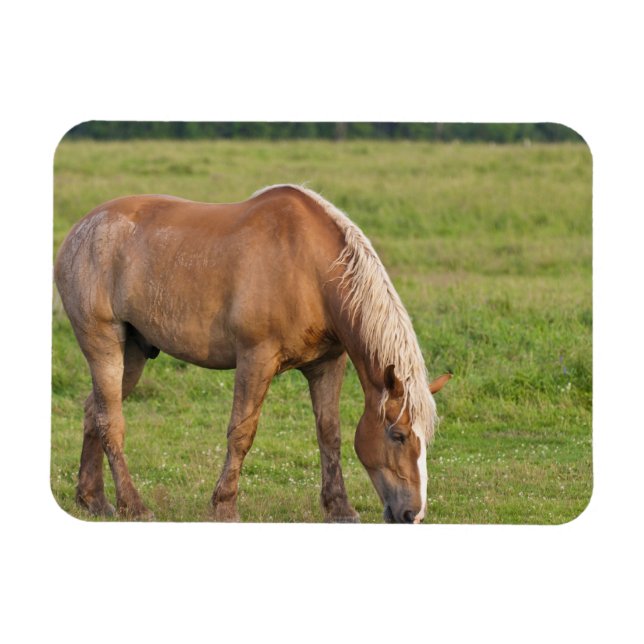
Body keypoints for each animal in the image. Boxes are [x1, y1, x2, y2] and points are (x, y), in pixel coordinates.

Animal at [54, 184, 450, 523]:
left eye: (425, 438)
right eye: (398, 435)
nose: (413, 514)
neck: (309, 267)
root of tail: (80, 230)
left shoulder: (327, 365)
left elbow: (330, 434)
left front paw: (340, 508)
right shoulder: (256, 359)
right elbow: (242, 432)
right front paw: (224, 505)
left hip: (134, 352)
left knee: (93, 411)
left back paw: (94, 500)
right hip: (103, 343)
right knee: (111, 421)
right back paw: (132, 505)